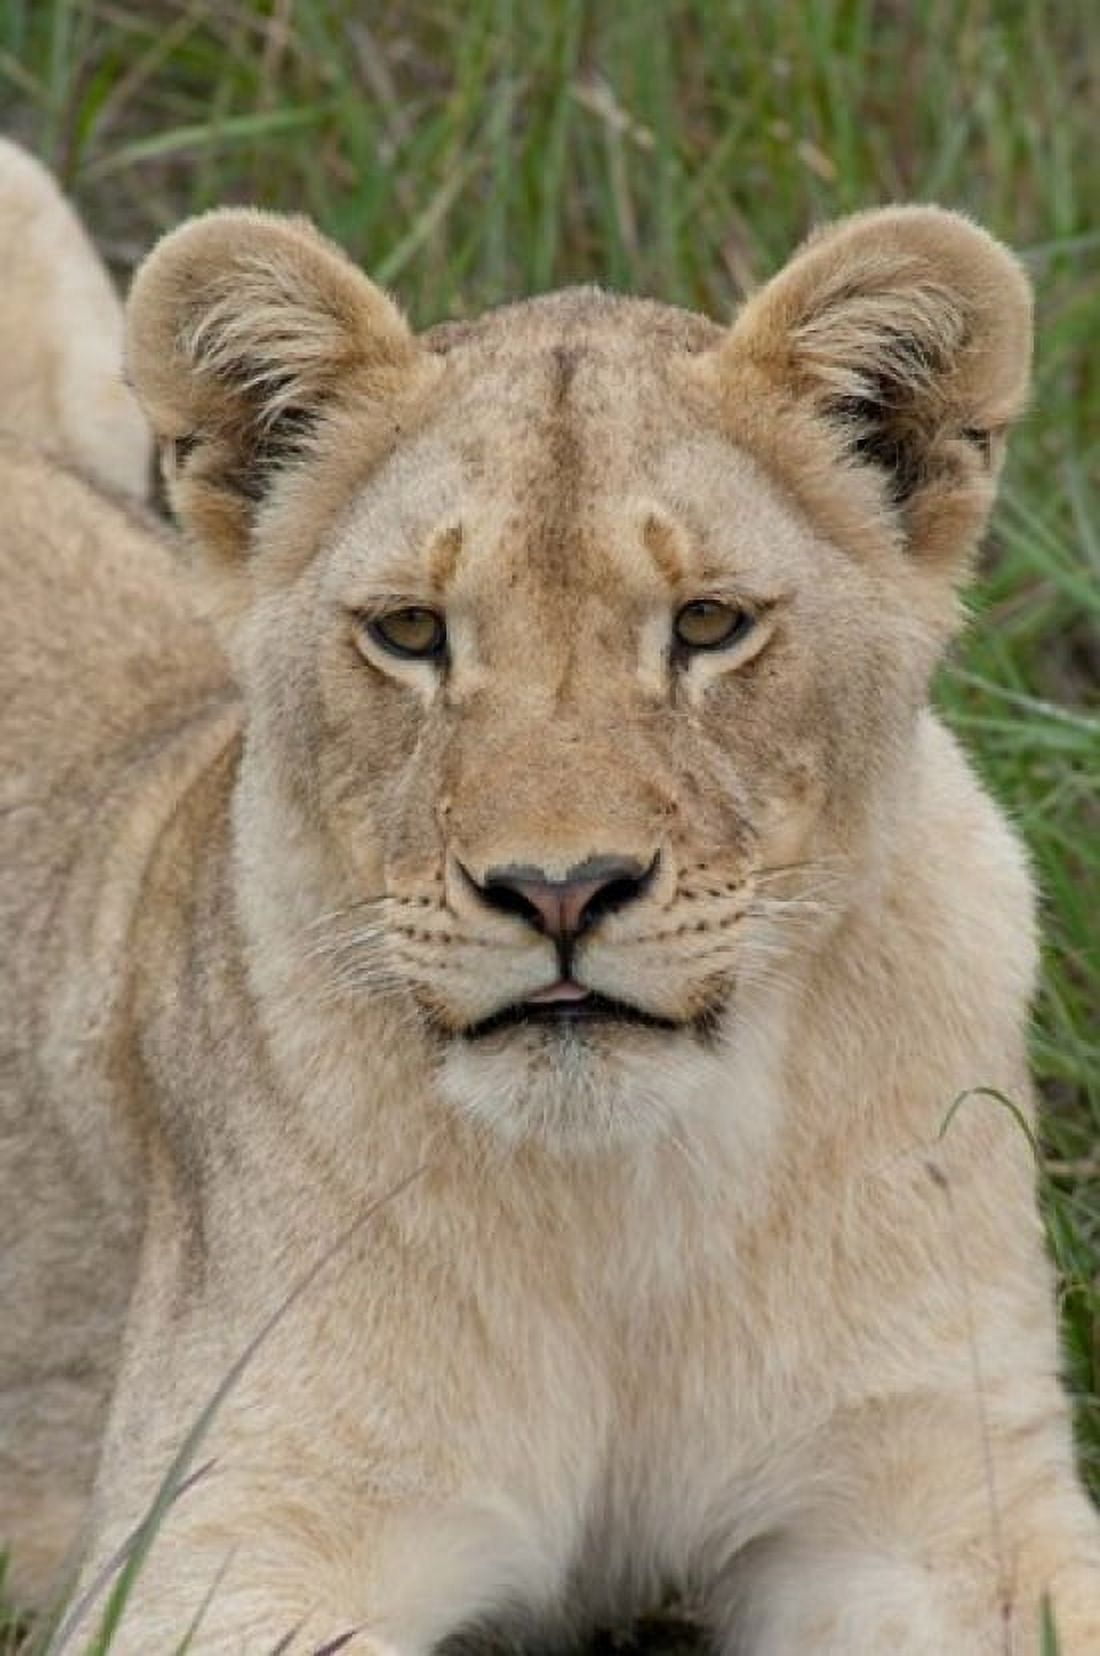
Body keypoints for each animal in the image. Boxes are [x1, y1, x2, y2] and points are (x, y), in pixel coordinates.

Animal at [2, 138, 1098, 1653]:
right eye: (411, 632)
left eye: (708, 624)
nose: (561, 890)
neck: (629, 1208)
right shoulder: (214, 1541)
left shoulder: (947, 1497)